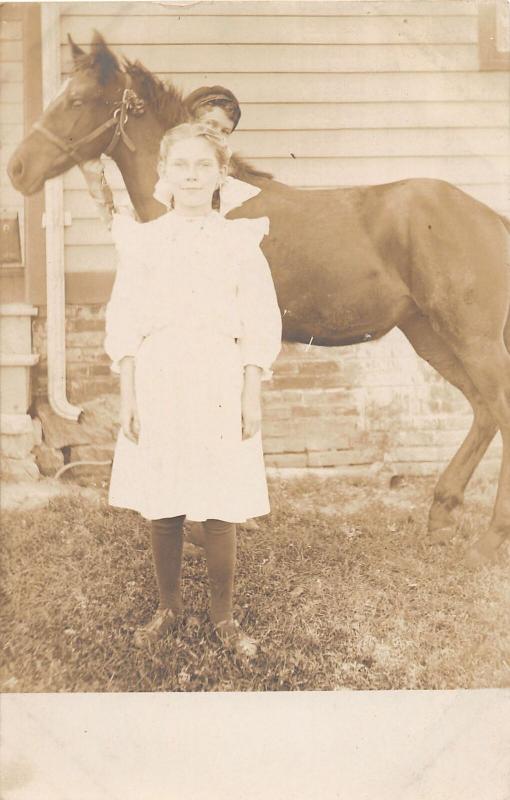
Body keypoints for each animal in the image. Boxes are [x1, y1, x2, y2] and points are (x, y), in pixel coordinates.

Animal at [6, 32, 510, 568]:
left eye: (78, 101)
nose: (17, 169)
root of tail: (490, 217)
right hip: (429, 334)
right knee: (483, 410)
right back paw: (442, 513)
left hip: (472, 338)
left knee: (499, 408)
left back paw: (489, 539)